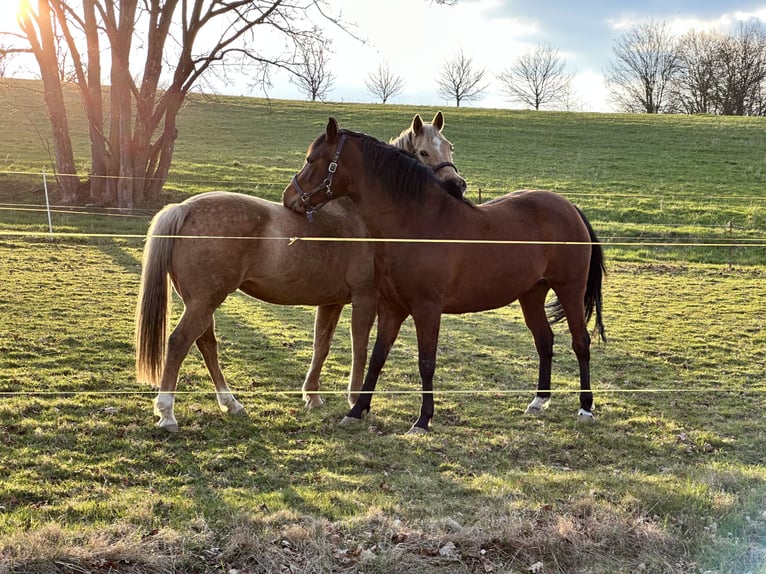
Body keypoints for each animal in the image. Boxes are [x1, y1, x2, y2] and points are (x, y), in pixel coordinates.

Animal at [135, 113, 465, 431]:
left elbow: (322, 345)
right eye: (423, 152)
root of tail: (183, 208)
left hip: (201, 302)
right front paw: (355, 401)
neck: (359, 221)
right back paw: (167, 413)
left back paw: (231, 403)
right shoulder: (366, 298)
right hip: (204, 301)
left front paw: (313, 396)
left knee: (206, 344)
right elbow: (360, 347)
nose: (458, 186)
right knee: (179, 342)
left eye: (450, 147)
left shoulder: (332, 302)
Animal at [283, 117, 606, 434]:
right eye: (424, 151)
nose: (289, 197)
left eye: (311, 159)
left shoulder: (427, 309)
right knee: (544, 340)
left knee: (580, 343)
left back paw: (585, 408)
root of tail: (569, 207)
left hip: (570, 290)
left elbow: (426, 362)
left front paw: (423, 420)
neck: (417, 223)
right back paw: (538, 402)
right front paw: (356, 411)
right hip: (532, 294)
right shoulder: (391, 308)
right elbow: (377, 357)